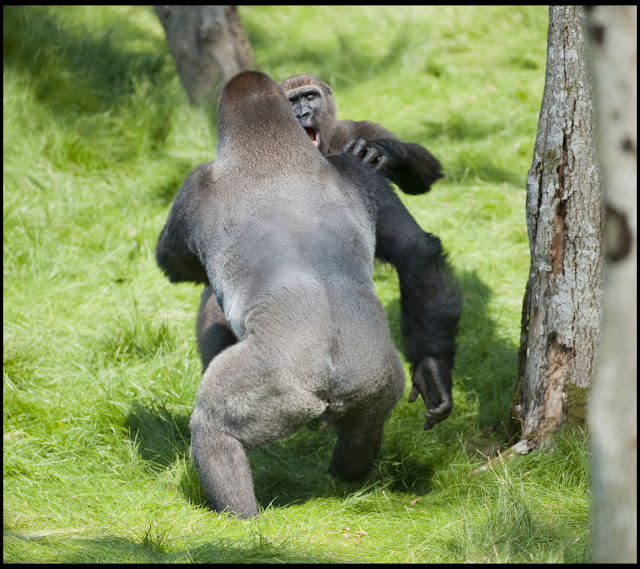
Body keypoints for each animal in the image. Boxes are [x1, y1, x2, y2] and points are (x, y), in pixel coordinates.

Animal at [156, 69, 404, 516]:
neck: (272, 148)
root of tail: (330, 373)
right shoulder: (355, 174)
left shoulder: (194, 187)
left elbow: (174, 263)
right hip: (376, 376)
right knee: (367, 424)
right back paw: (347, 473)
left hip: (278, 384)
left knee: (214, 427)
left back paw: (238, 516)